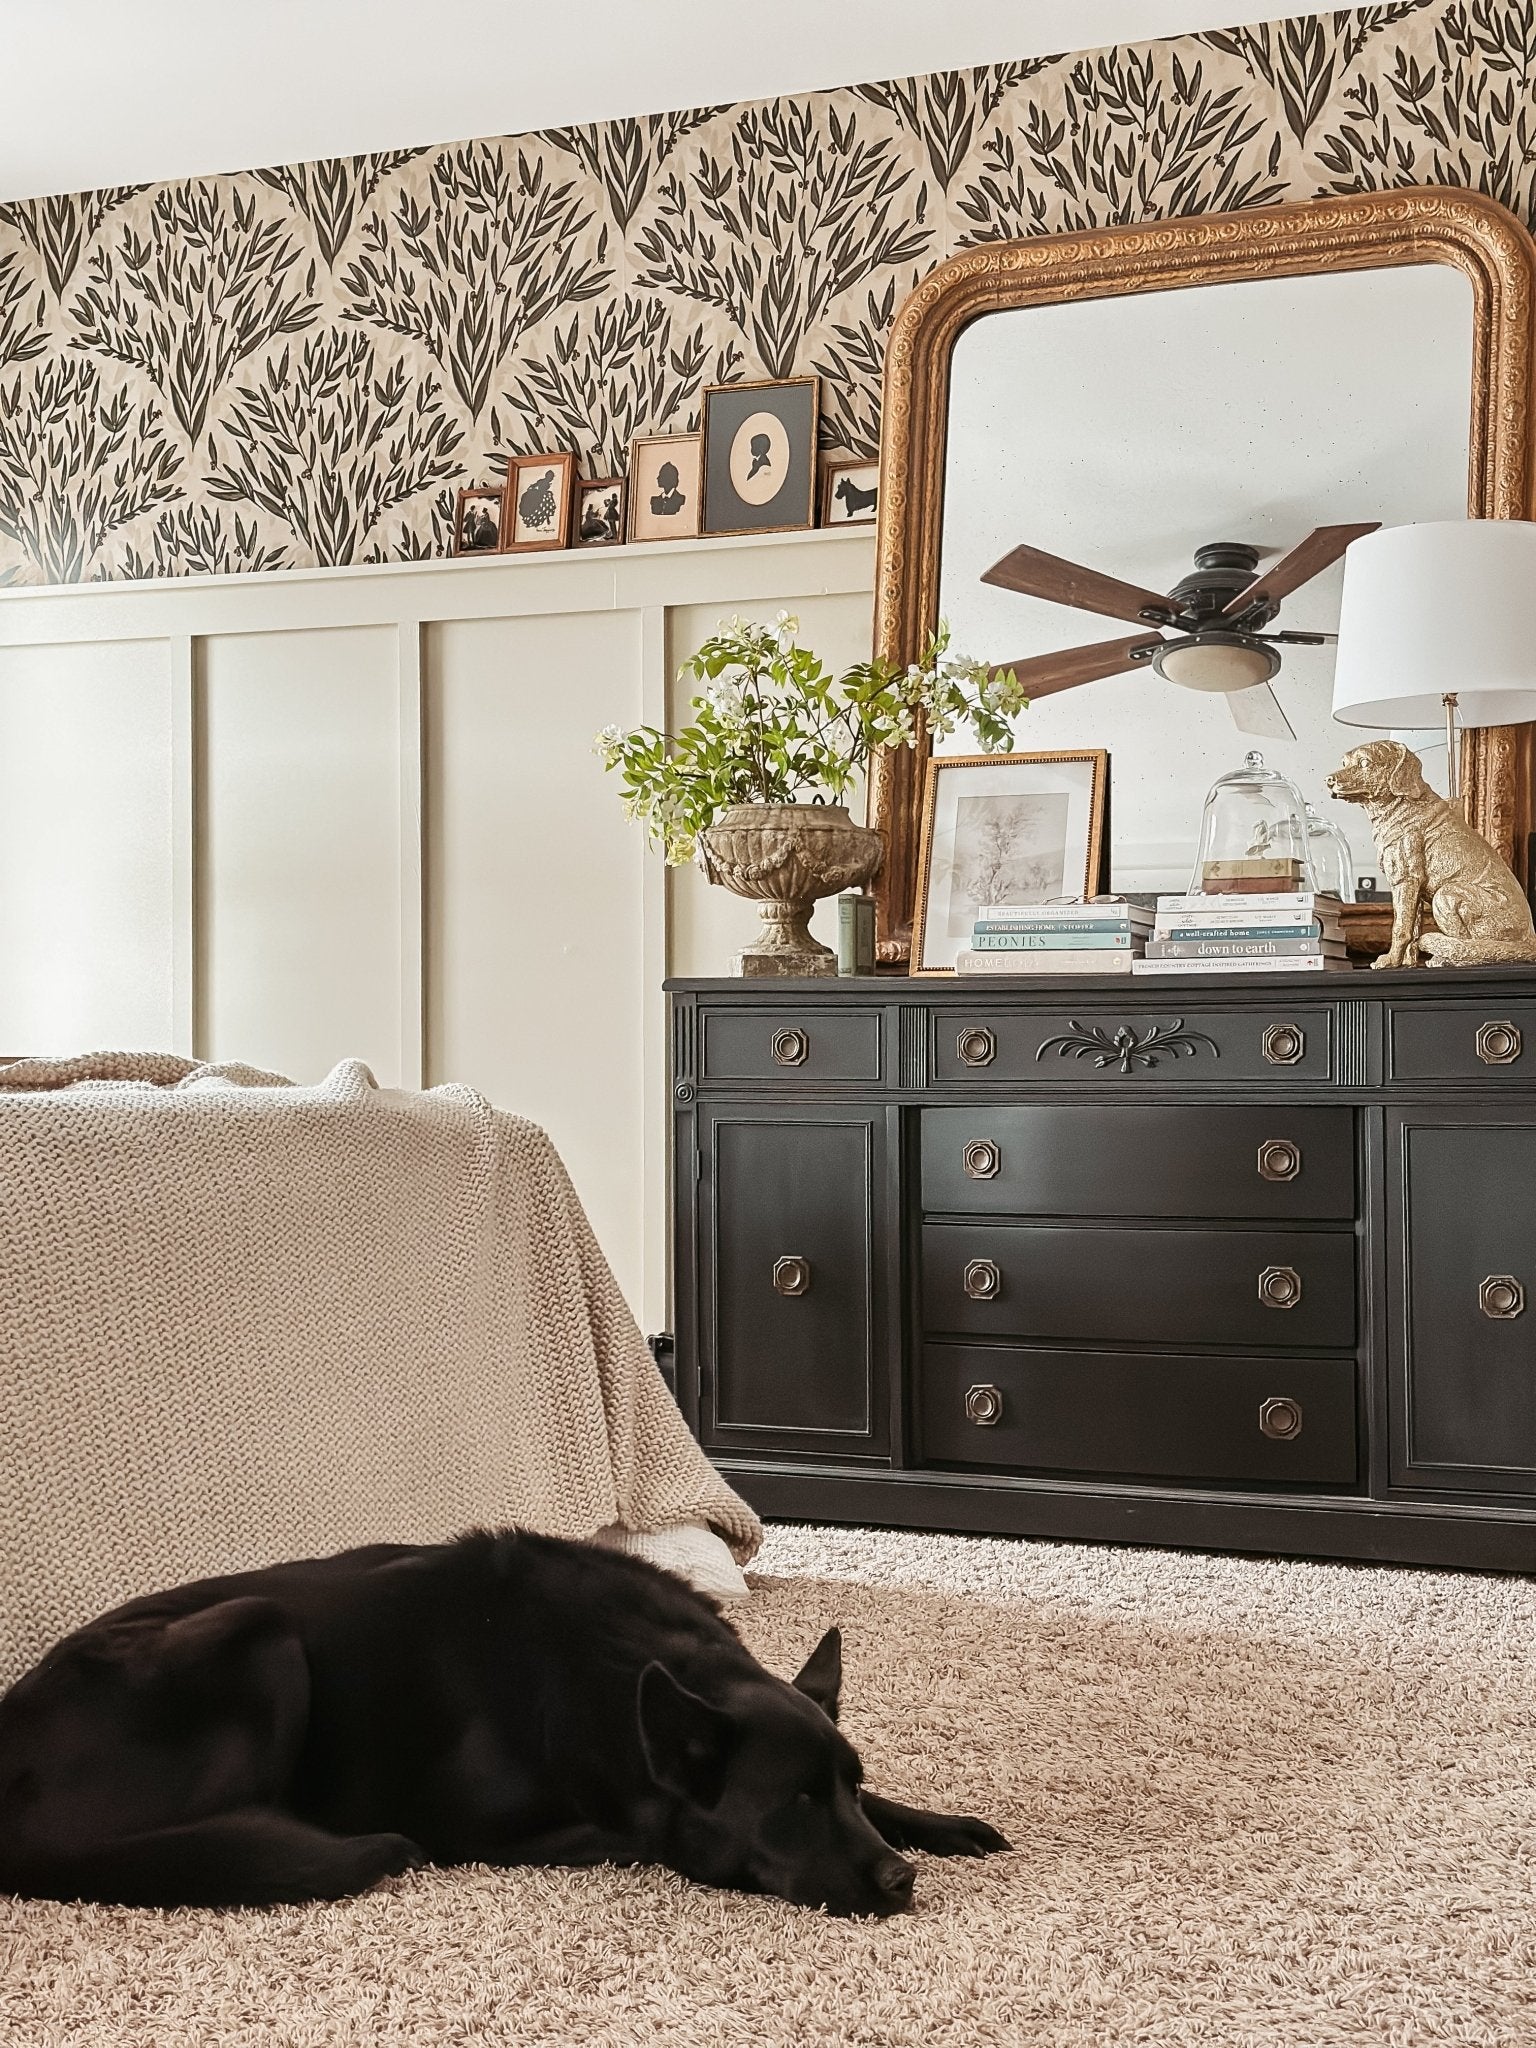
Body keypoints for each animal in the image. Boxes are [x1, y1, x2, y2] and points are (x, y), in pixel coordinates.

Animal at [0, 1540, 1011, 1916]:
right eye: (791, 1805)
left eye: (842, 1783)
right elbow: (640, 1835)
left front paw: (942, 1823)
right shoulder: (482, 1826)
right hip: (260, 1630)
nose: (901, 1880)